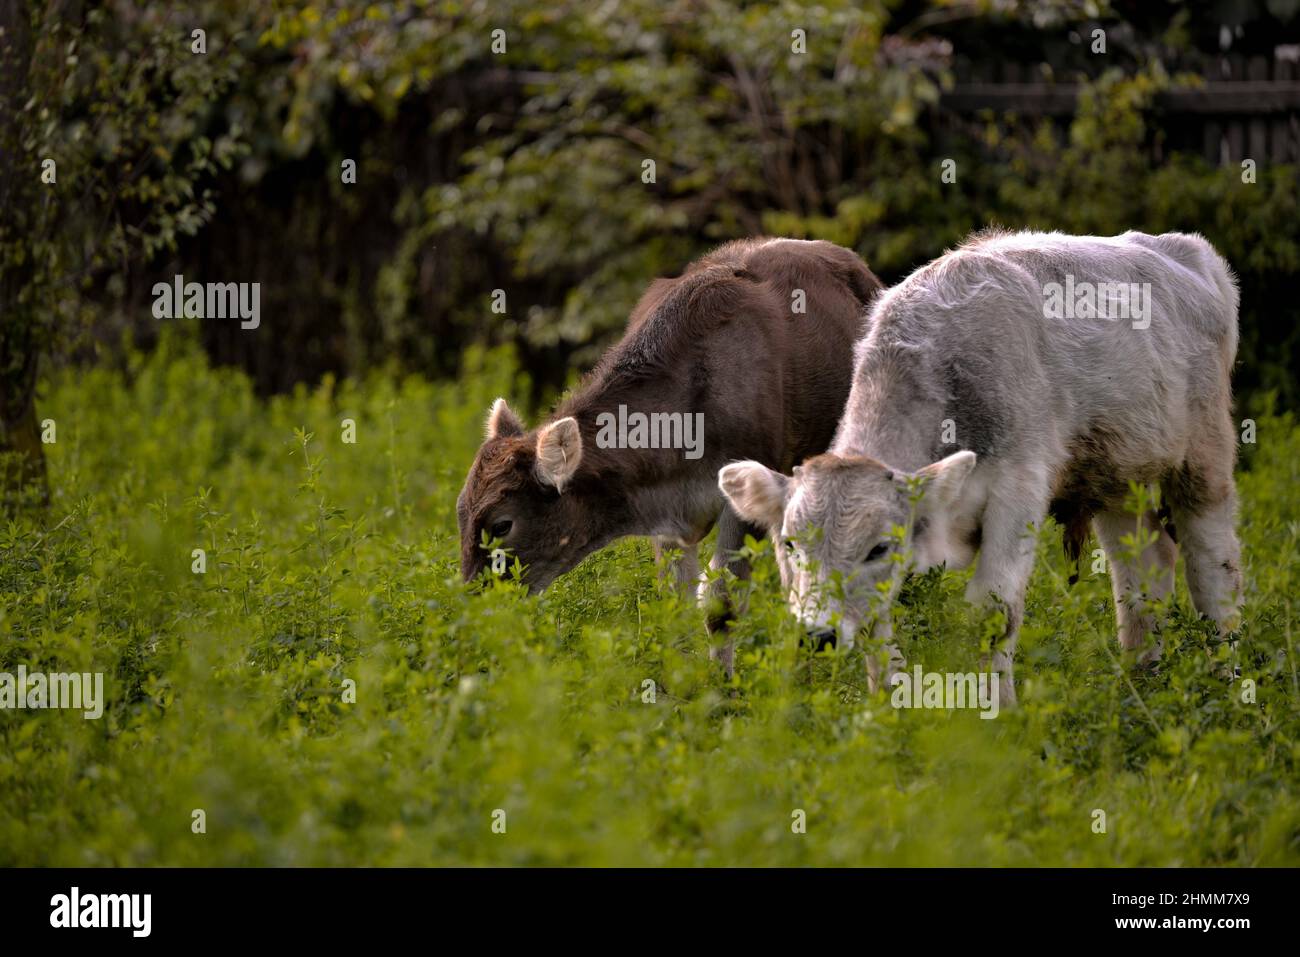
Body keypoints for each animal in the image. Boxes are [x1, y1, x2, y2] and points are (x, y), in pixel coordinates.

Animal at [457, 237, 883, 671]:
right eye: (461, 513)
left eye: (501, 524)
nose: (474, 608)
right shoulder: (665, 513)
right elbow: (675, 605)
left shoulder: (741, 496)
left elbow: (721, 602)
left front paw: (722, 683)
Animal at [718, 229, 1243, 704]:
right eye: (790, 544)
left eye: (878, 548)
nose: (819, 635)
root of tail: (1186, 250)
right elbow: (878, 629)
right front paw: (887, 710)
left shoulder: (1019, 491)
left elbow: (993, 613)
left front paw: (996, 712)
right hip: (1116, 476)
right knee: (1143, 567)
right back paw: (1141, 682)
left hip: (1204, 456)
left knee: (1213, 565)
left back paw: (1226, 682)